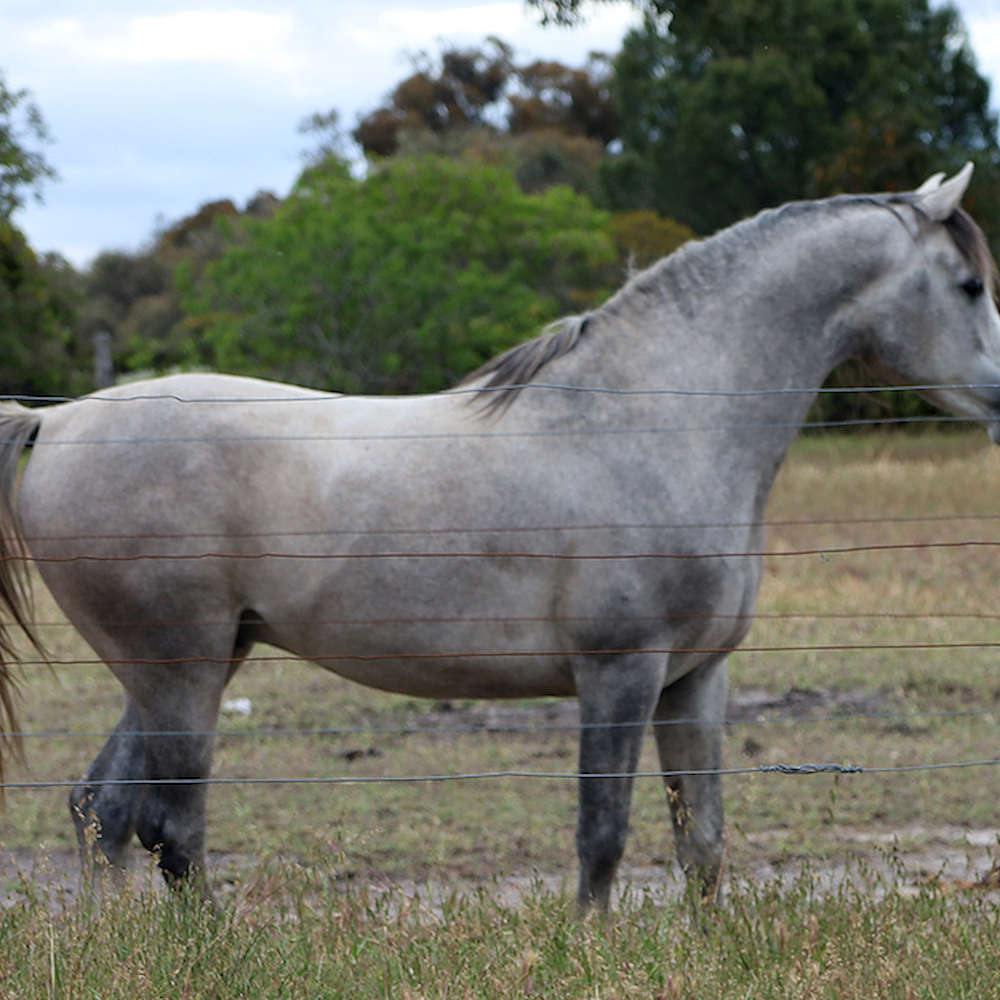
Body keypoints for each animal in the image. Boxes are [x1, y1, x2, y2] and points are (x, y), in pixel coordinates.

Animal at [0, 164, 998, 909]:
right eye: (971, 285)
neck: (645, 423)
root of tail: (60, 422)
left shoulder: (695, 678)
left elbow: (703, 842)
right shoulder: (619, 671)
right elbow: (604, 836)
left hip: (185, 668)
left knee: (103, 812)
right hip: (183, 673)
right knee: (172, 830)